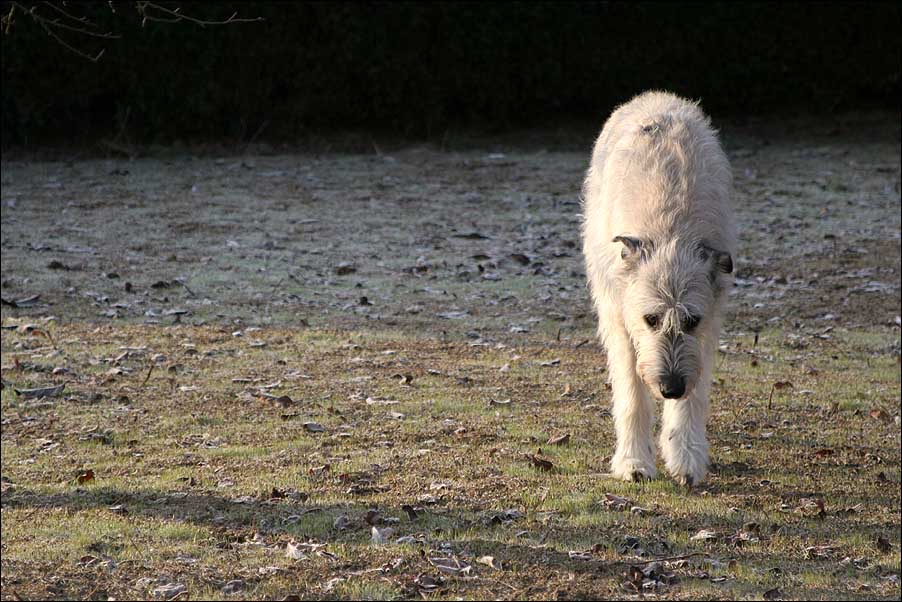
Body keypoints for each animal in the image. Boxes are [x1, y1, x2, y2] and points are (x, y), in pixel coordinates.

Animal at [584, 90, 740, 482]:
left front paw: (685, 454)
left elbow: (695, 391)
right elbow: (631, 393)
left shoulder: (709, 318)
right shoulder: (619, 314)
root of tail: (656, 97)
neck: (670, 229)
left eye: (691, 321)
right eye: (651, 319)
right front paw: (634, 461)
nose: (670, 389)